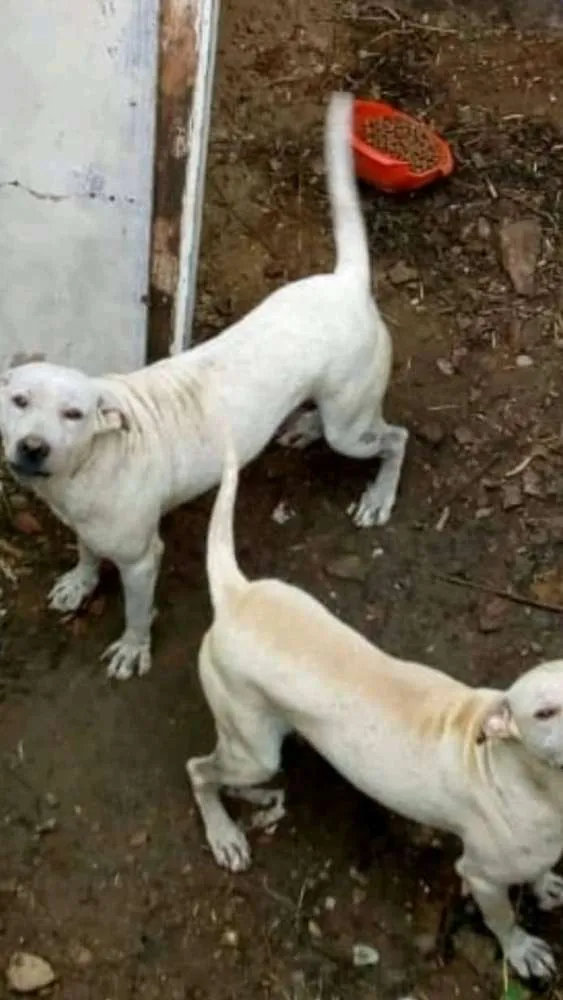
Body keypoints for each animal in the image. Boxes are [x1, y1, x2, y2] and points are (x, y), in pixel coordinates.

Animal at [0, 94, 406, 684]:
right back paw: (304, 429)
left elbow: (137, 610)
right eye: (19, 401)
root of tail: (347, 281)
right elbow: (86, 552)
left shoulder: (142, 558)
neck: (85, 469)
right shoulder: (86, 525)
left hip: (351, 429)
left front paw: (133, 648)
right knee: (335, 417)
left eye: (74, 414)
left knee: (395, 438)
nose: (32, 447)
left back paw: (378, 497)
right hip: (339, 407)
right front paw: (80, 581)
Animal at [187, 418, 563, 980]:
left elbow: (540, 869)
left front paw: (544, 886)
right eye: (543, 712)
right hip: (253, 750)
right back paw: (224, 834)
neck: (529, 778)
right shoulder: (480, 875)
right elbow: (502, 920)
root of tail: (237, 595)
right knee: (199, 771)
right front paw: (520, 950)